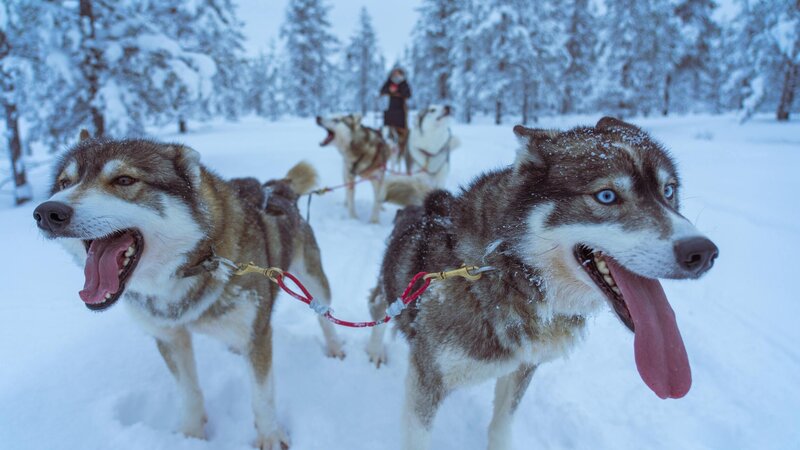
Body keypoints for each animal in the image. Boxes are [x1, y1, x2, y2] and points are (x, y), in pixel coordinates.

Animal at [32, 134, 346, 450]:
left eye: (124, 180)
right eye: (64, 183)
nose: (47, 212)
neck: (194, 263)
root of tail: (277, 188)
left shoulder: (257, 336)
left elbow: (262, 397)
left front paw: (270, 436)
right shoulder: (169, 338)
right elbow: (188, 392)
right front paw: (191, 436)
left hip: (314, 281)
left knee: (324, 316)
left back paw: (334, 348)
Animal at [366, 118, 720, 448]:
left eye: (668, 190)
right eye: (606, 196)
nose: (702, 252)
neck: (505, 272)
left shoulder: (522, 368)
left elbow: (501, 425)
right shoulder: (427, 380)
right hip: (387, 291)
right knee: (377, 307)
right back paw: (374, 350)